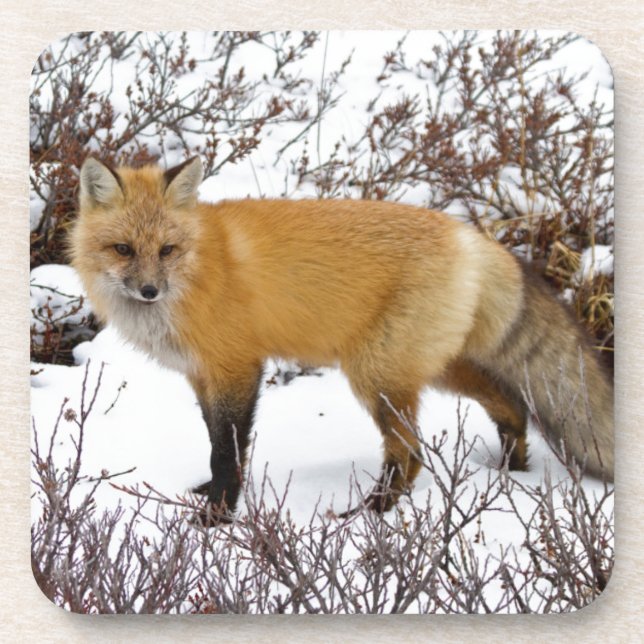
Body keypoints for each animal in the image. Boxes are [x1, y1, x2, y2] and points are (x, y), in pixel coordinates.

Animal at [71, 156, 614, 525]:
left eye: (167, 250)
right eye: (122, 249)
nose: (148, 290)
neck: (199, 269)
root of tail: (471, 236)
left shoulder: (237, 368)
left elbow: (226, 450)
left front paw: (219, 517)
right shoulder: (202, 377)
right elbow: (214, 441)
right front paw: (209, 496)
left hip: (376, 375)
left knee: (410, 453)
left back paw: (372, 513)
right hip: (430, 368)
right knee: (508, 404)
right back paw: (510, 470)